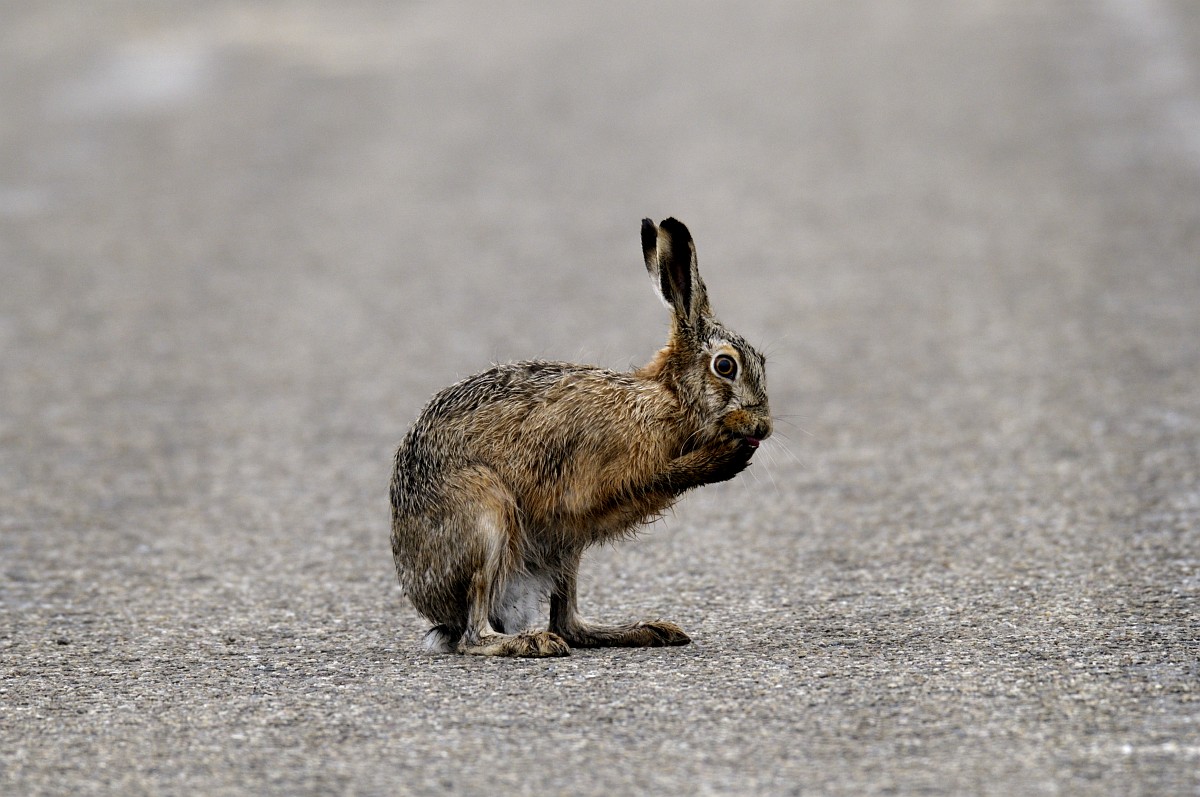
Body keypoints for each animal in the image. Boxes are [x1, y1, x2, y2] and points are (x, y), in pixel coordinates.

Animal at [390, 217, 772, 657]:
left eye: (762, 362)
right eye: (725, 366)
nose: (763, 427)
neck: (669, 397)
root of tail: (433, 605)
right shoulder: (598, 476)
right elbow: (652, 476)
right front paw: (722, 459)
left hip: (564, 549)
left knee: (569, 623)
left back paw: (647, 630)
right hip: (484, 519)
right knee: (475, 634)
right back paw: (531, 641)